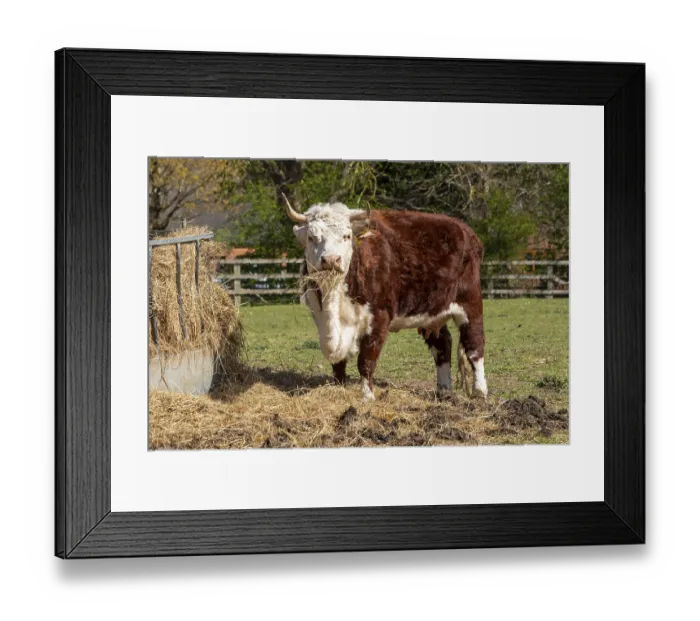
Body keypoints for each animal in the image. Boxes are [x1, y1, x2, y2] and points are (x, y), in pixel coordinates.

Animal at [284, 196, 487, 401]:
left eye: (346, 236)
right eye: (311, 237)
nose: (331, 260)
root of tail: (465, 229)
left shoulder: (379, 316)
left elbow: (366, 360)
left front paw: (367, 396)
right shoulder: (320, 317)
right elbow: (338, 363)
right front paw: (339, 390)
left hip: (470, 302)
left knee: (474, 345)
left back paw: (480, 391)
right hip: (432, 311)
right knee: (442, 345)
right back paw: (444, 391)